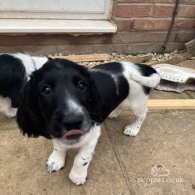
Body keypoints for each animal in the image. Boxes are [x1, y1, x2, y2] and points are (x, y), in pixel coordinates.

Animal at [16, 58, 160, 185]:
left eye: (82, 85)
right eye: (46, 90)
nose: (72, 122)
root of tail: (141, 66)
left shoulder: (92, 135)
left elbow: (81, 158)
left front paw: (77, 176)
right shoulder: (53, 129)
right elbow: (58, 146)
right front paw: (56, 160)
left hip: (137, 102)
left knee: (142, 114)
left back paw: (133, 128)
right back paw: (114, 113)